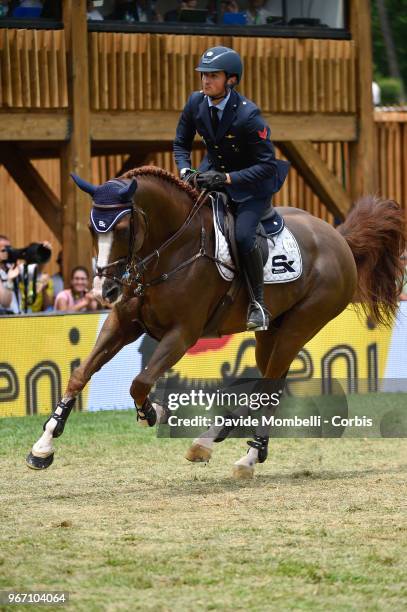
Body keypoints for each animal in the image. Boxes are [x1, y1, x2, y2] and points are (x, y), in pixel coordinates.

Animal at [27, 166, 406, 478]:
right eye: (94, 229)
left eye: (121, 229)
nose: (104, 290)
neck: (170, 250)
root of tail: (339, 237)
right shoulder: (122, 323)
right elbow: (80, 374)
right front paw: (43, 445)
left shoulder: (182, 334)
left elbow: (139, 382)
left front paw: (152, 412)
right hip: (271, 334)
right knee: (272, 385)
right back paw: (243, 451)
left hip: (300, 325)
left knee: (266, 388)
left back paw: (220, 446)